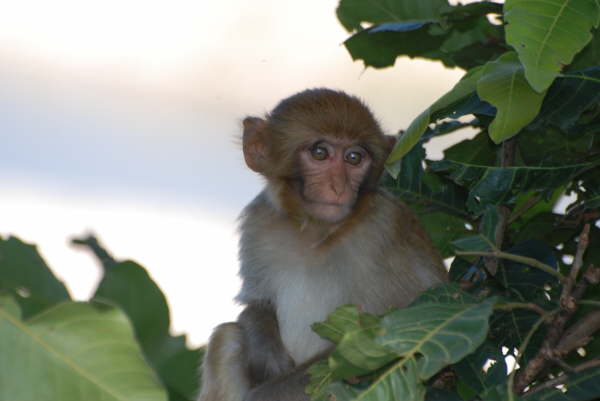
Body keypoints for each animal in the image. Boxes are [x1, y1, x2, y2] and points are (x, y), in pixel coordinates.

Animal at [197, 88, 446, 400]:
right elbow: (257, 302)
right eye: (320, 153)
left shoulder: (386, 228)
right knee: (228, 337)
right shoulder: (259, 220)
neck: (316, 233)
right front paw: (264, 349)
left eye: (354, 158)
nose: (338, 187)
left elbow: (381, 341)